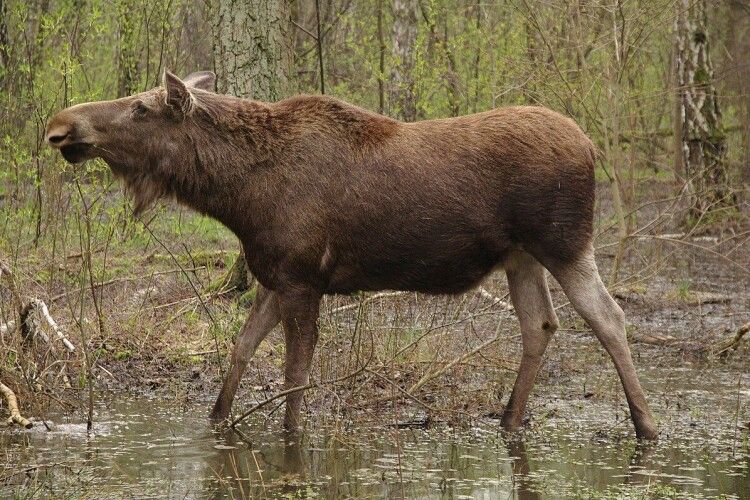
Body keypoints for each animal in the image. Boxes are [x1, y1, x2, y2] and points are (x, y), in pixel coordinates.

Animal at [47, 69, 656, 438]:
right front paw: (217, 424)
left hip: (566, 243)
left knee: (609, 317)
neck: (237, 196)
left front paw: (290, 438)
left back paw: (645, 424)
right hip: (520, 257)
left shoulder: (302, 280)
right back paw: (509, 420)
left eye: (141, 108)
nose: (60, 125)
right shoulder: (276, 277)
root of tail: (591, 145)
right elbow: (241, 350)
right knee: (540, 324)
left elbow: (294, 376)